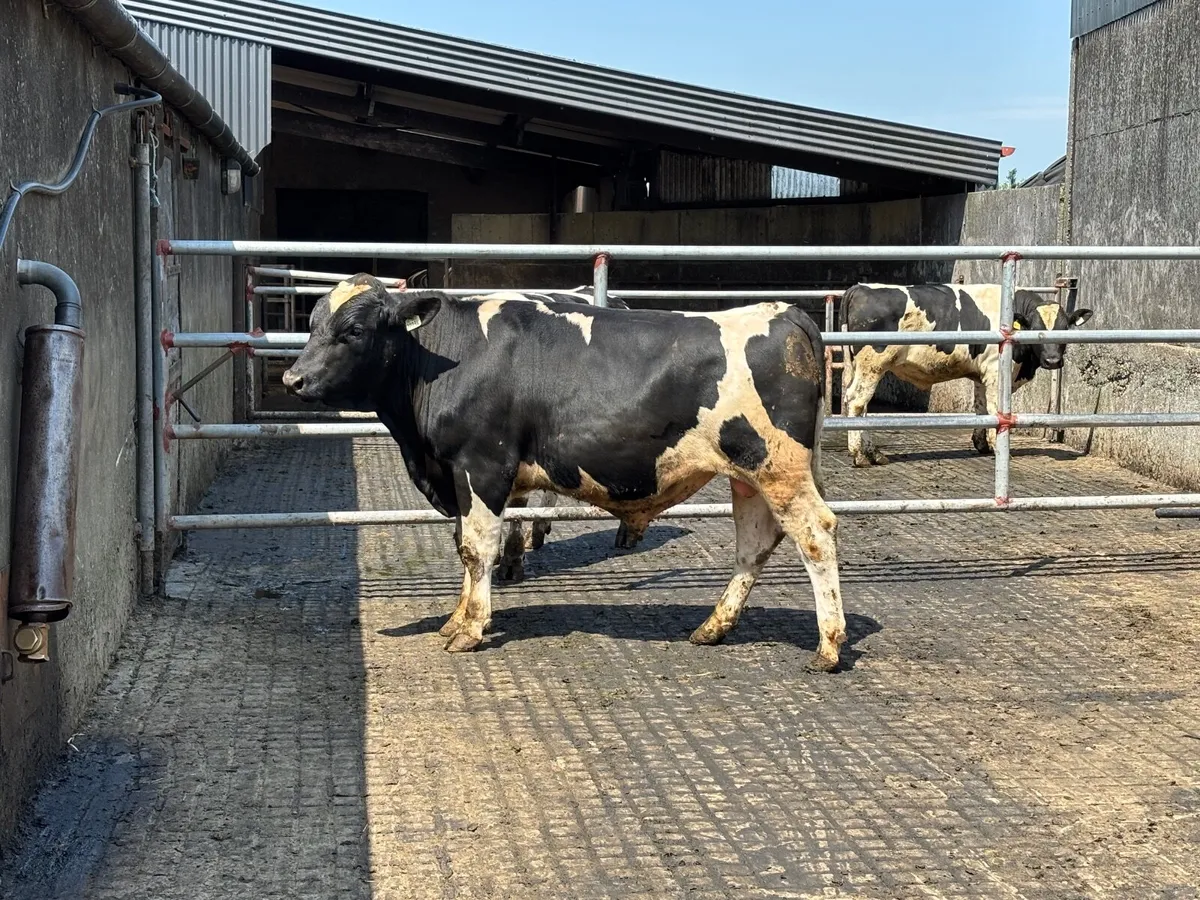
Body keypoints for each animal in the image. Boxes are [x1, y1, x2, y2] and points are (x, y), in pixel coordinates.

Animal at [281, 275, 847, 670]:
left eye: (354, 330)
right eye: (312, 325)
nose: (293, 379)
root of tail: (783, 311)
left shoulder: (482, 465)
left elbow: (478, 548)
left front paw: (470, 628)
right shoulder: (455, 475)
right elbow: (464, 544)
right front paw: (455, 618)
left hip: (778, 469)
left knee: (815, 534)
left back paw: (828, 646)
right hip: (748, 475)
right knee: (755, 543)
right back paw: (713, 627)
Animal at [839, 283, 1092, 467]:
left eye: (1065, 328)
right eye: (1035, 330)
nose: (1052, 361)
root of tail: (860, 288)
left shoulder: (982, 375)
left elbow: (981, 408)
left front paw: (981, 444)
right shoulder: (996, 372)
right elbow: (994, 408)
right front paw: (999, 448)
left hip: (861, 368)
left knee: (860, 404)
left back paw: (873, 453)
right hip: (872, 365)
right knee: (857, 402)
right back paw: (860, 456)